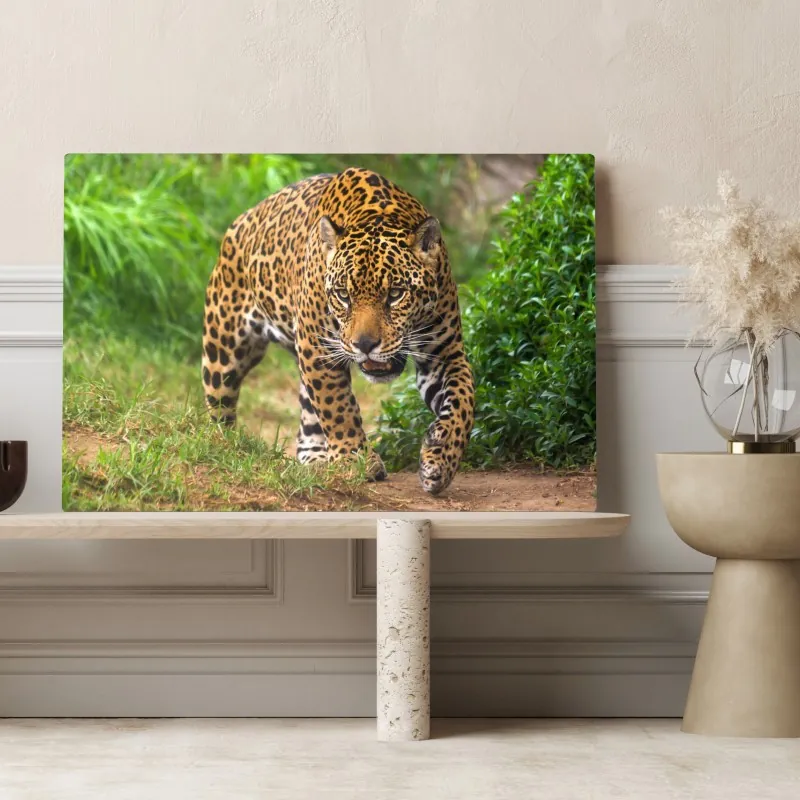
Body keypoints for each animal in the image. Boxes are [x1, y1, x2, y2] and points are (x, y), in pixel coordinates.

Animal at [201, 167, 475, 495]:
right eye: (344, 295)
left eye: (396, 294)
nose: (365, 344)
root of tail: (243, 219)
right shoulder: (318, 348)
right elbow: (338, 406)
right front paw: (356, 459)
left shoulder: (444, 353)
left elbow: (463, 401)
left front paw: (441, 457)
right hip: (224, 349)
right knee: (219, 406)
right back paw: (223, 447)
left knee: (309, 412)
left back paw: (317, 458)